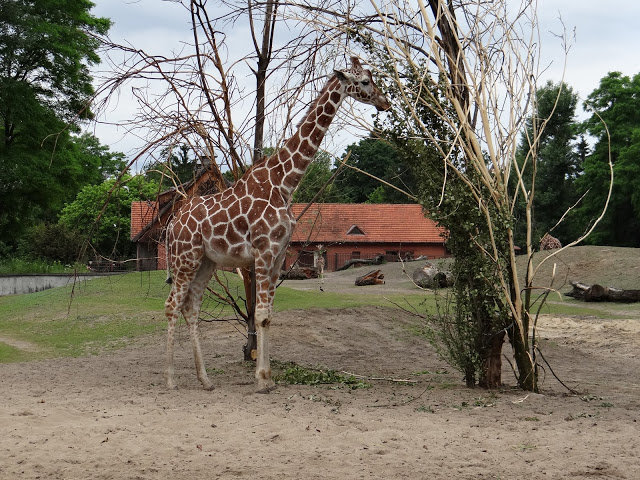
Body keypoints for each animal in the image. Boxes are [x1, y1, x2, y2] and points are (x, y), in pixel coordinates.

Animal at [164, 57, 391, 393]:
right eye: (364, 81)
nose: (385, 102)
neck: (285, 183)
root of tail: (172, 224)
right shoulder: (263, 250)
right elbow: (259, 315)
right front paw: (261, 380)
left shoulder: (279, 252)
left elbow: (268, 316)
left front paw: (267, 376)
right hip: (185, 258)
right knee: (171, 305)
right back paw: (170, 379)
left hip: (206, 261)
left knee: (190, 307)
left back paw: (205, 380)